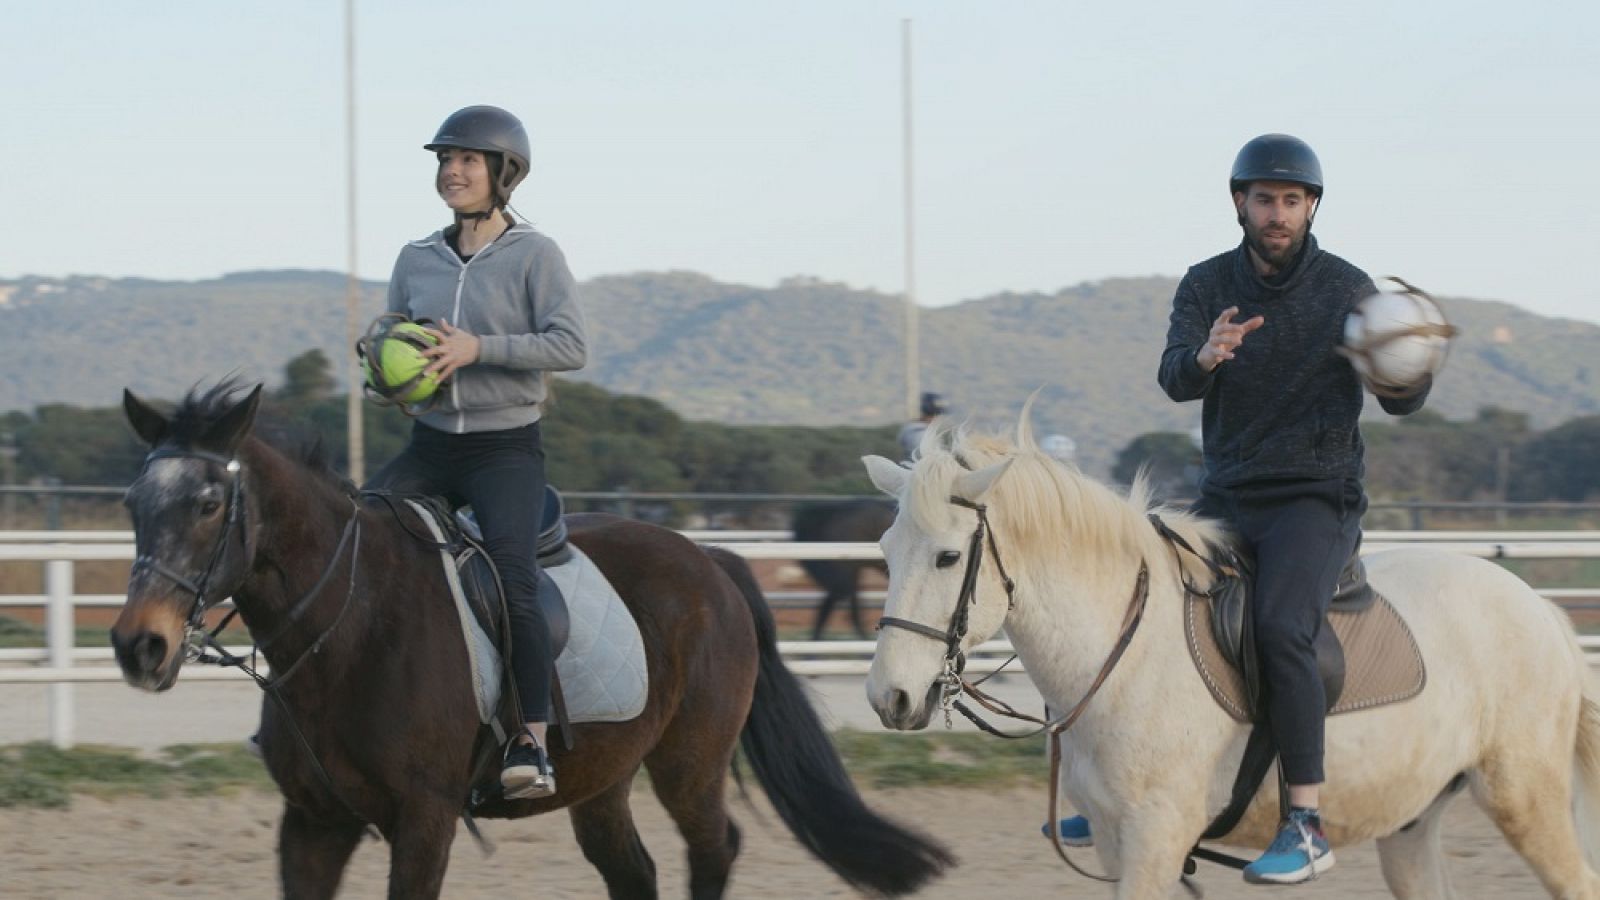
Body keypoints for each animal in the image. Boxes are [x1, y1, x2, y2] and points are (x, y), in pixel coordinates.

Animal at [864, 413, 1600, 896]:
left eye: (948, 556)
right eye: (885, 553)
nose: (889, 697)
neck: (1126, 655)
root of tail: (1541, 609)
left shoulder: (1156, 839)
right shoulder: (1118, 841)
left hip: (1524, 800)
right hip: (1412, 824)